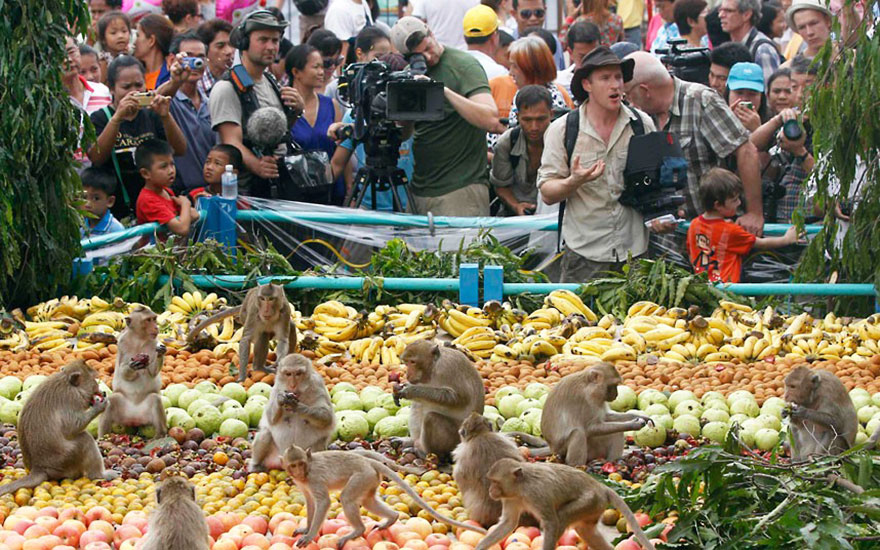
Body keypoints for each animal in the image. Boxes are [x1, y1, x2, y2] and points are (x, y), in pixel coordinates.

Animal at [284, 446, 484, 548]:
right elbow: (310, 502)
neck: (308, 470)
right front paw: (306, 529)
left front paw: (309, 535)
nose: (299, 471)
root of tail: (368, 461)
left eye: (301, 463)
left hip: (362, 476)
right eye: (293, 465)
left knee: (347, 498)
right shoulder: (303, 483)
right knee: (367, 501)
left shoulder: (314, 478)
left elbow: (323, 502)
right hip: (370, 479)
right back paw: (392, 518)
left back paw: (357, 531)